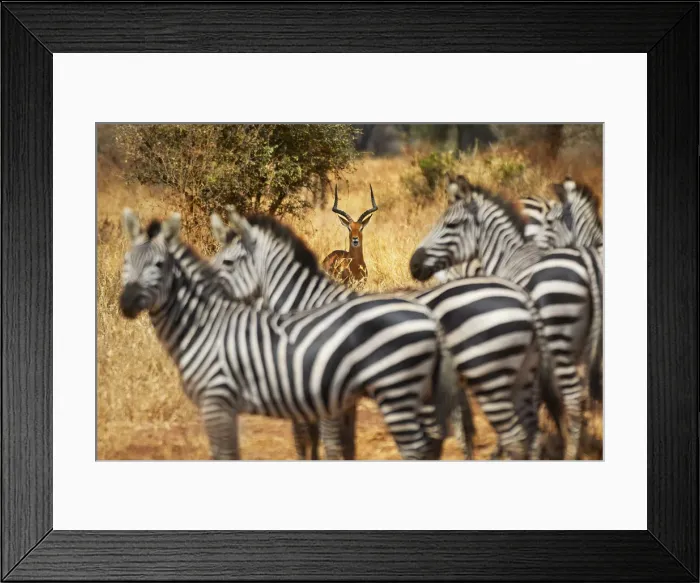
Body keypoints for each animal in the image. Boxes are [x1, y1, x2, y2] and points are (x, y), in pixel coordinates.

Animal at [409, 178, 602, 460]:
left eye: (451, 225)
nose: (413, 265)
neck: (508, 256)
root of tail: (586, 259)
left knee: (575, 396)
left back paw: (571, 453)